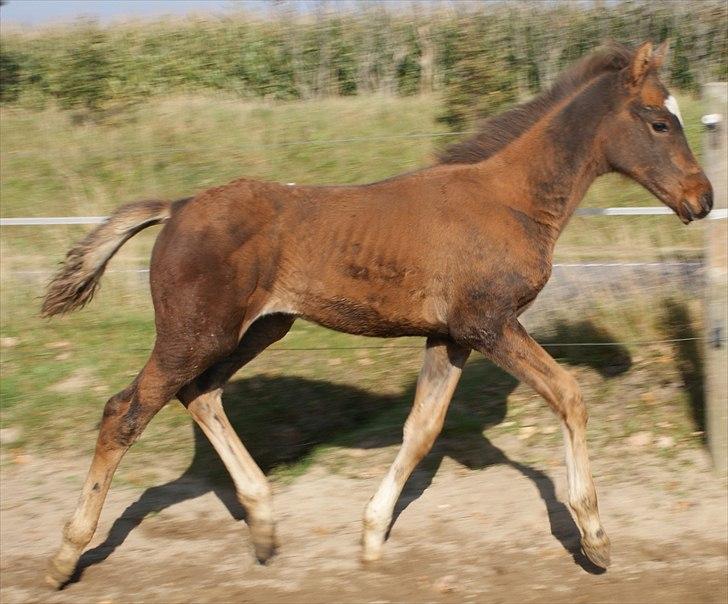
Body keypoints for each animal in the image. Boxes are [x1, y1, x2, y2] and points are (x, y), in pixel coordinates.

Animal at [39, 40, 712, 588]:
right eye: (658, 121)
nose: (703, 200)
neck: (511, 201)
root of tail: (177, 207)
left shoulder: (450, 336)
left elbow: (422, 430)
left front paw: (369, 536)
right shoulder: (489, 324)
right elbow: (569, 395)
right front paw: (595, 539)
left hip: (256, 330)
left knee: (199, 395)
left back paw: (264, 522)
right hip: (194, 334)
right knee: (124, 412)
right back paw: (66, 556)